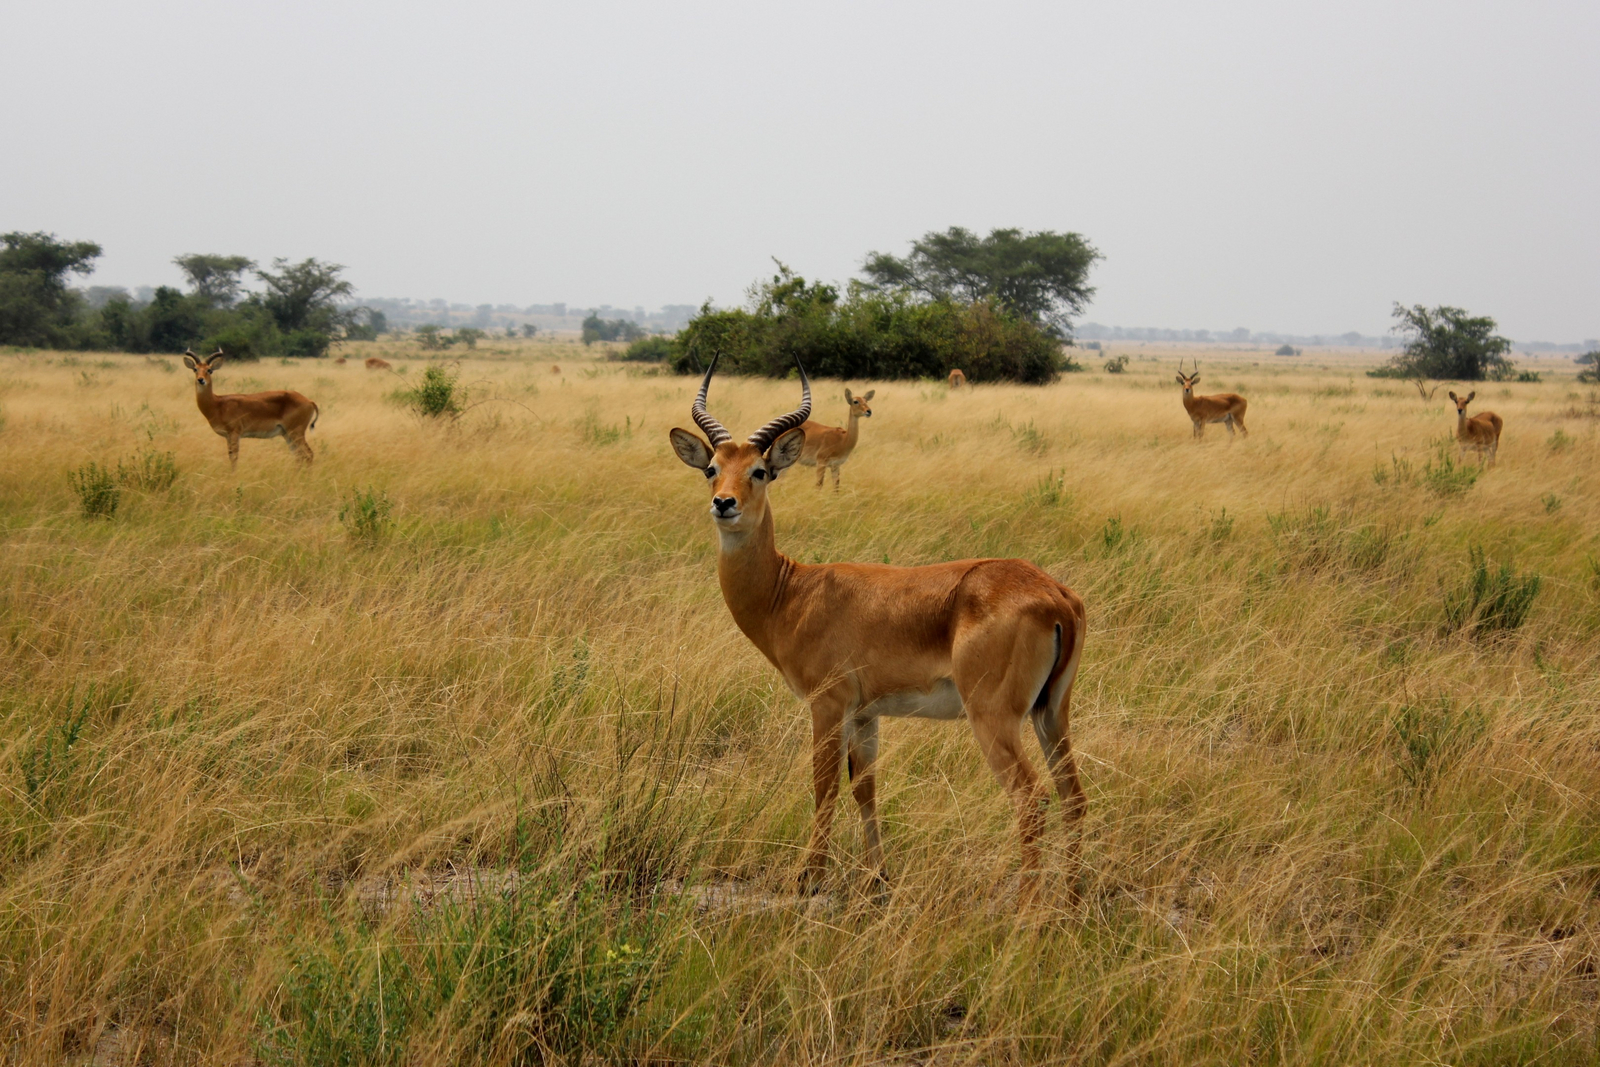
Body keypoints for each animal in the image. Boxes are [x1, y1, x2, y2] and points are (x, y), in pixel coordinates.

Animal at [182, 349, 319, 468]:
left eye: (209, 370)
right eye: (195, 369)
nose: (201, 380)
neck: (217, 404)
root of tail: (310, 401)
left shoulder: (234, 433)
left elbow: (234, 458)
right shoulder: (228, 436)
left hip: (296, 432)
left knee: (308, 454)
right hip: (287, 434)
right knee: (298, 456)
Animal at [669, 358, 1087, 902]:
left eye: (760, 470)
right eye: (712, 468)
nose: (724, 504)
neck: (791, 592)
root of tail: (1055, 596)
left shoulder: (827, 704)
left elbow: (823, 785)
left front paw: (809, 877)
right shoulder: (866, 715)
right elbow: (864, 789)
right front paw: (878, 879)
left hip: (993, 717)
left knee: (1031, 797)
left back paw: (1028, 910)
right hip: (1051, 712)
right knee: (1073, 796)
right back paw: (1072, 899)